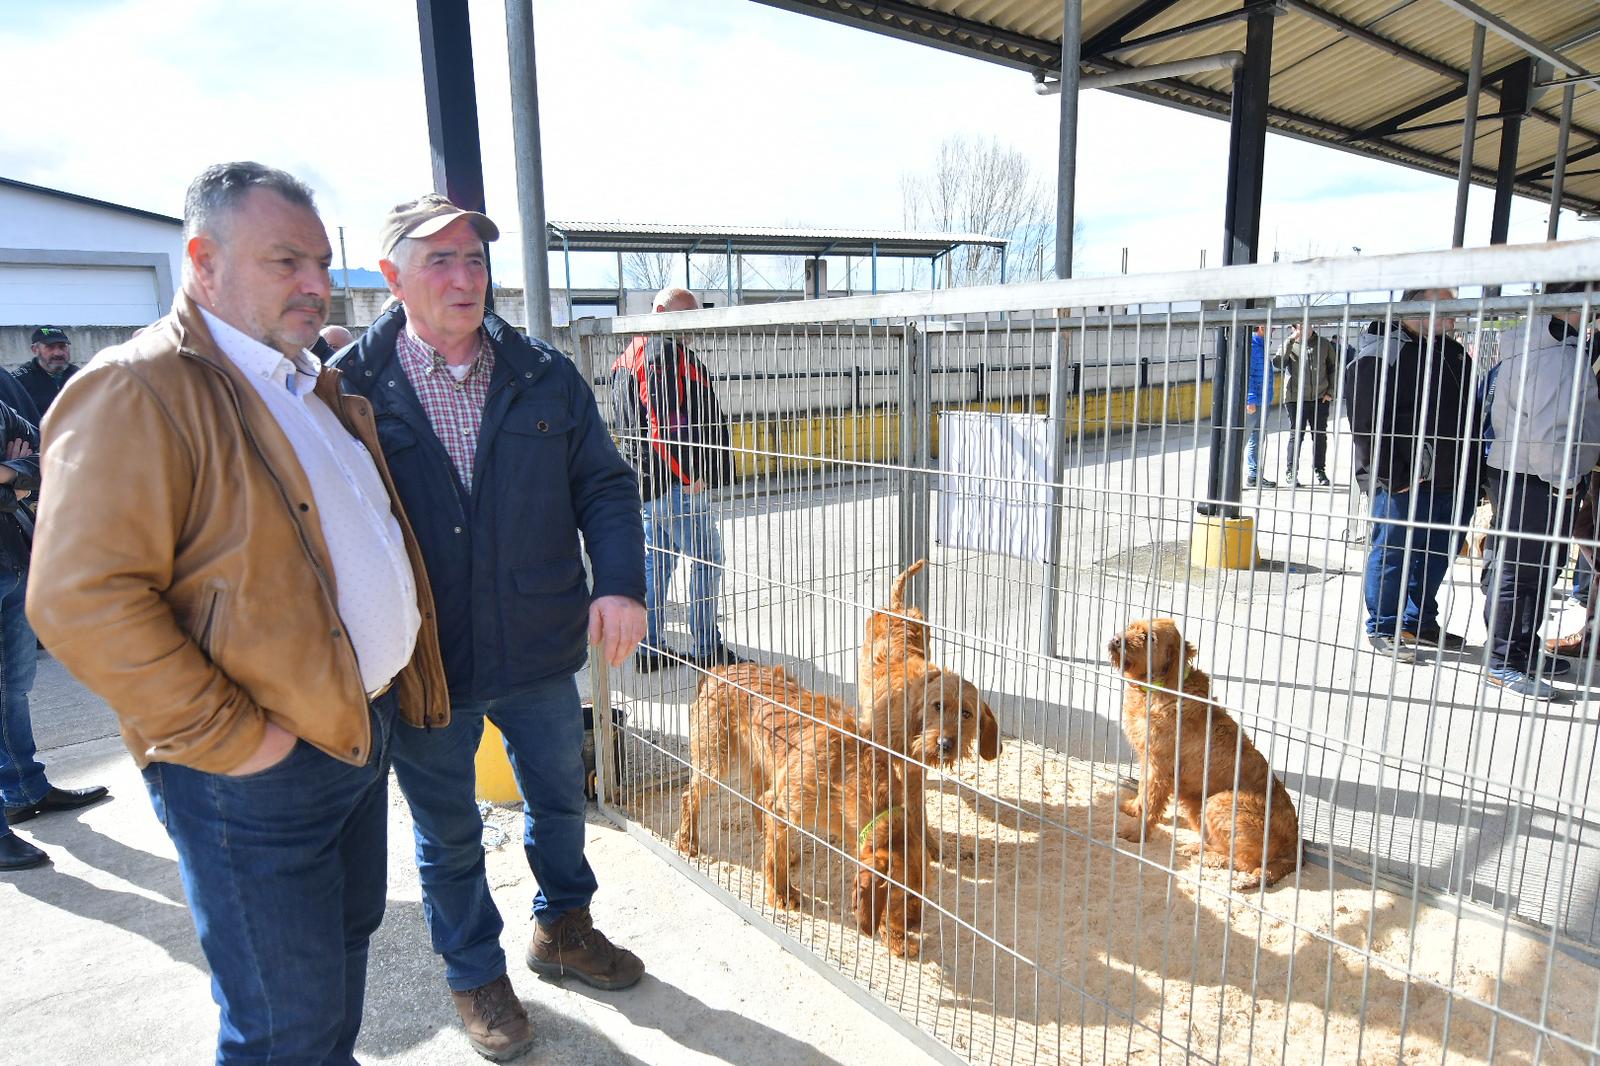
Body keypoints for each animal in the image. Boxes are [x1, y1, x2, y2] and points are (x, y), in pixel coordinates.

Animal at [675, 659, 928, 947]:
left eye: (923, 892)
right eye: (904, 895)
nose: (916, 925)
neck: (853, 772)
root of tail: (717, 671)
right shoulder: (781, 803)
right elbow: (774, 859)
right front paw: (781, 893)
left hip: (765, 764)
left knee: (757, 804)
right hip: (716, 762)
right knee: (689, 796)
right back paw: (687, 840)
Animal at [1113, 614, 1299, 889]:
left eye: (1150, 638)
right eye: (1131, 627)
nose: (1117, 640)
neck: (1162, 687)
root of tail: (1295, 851)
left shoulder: (1159, 767)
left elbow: (1151, 802)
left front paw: (1136, 833)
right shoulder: (1148, 760)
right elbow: (1143, 792)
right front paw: (1133, 807)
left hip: (1218, 802)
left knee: (1246, 863)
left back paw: (1207, 857)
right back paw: (1197, 849)